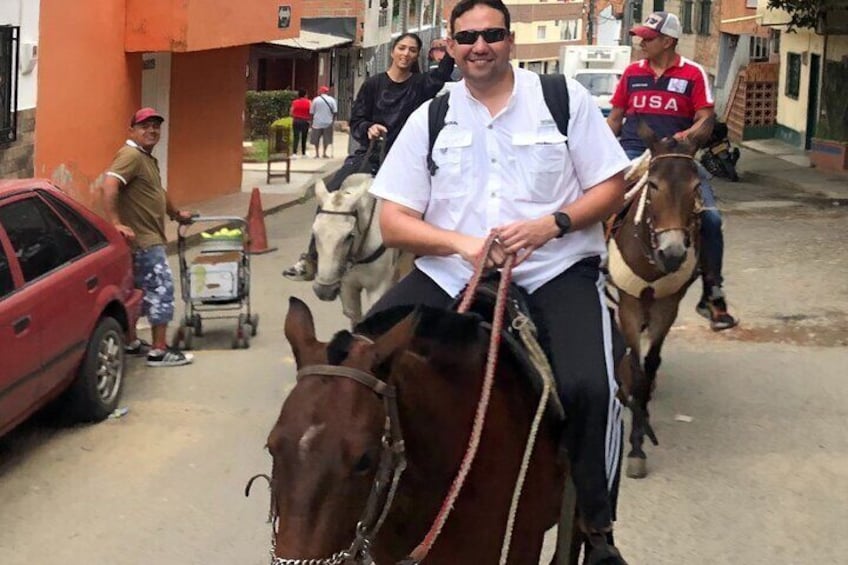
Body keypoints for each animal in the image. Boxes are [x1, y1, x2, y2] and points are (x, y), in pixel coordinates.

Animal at [314, 175, 400, 326]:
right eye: (314, 233)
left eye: (349, 236)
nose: (325, 291)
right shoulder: (347, 287)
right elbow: (354, 316)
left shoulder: (377, 289)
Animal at [608, 121, 712, 478]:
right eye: (653, 185)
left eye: (696, 185)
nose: (673, 253)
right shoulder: (628, 302)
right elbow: (636, 368)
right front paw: (637, 446)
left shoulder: (668, 305)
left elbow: (651, 364)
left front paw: (642, 423)